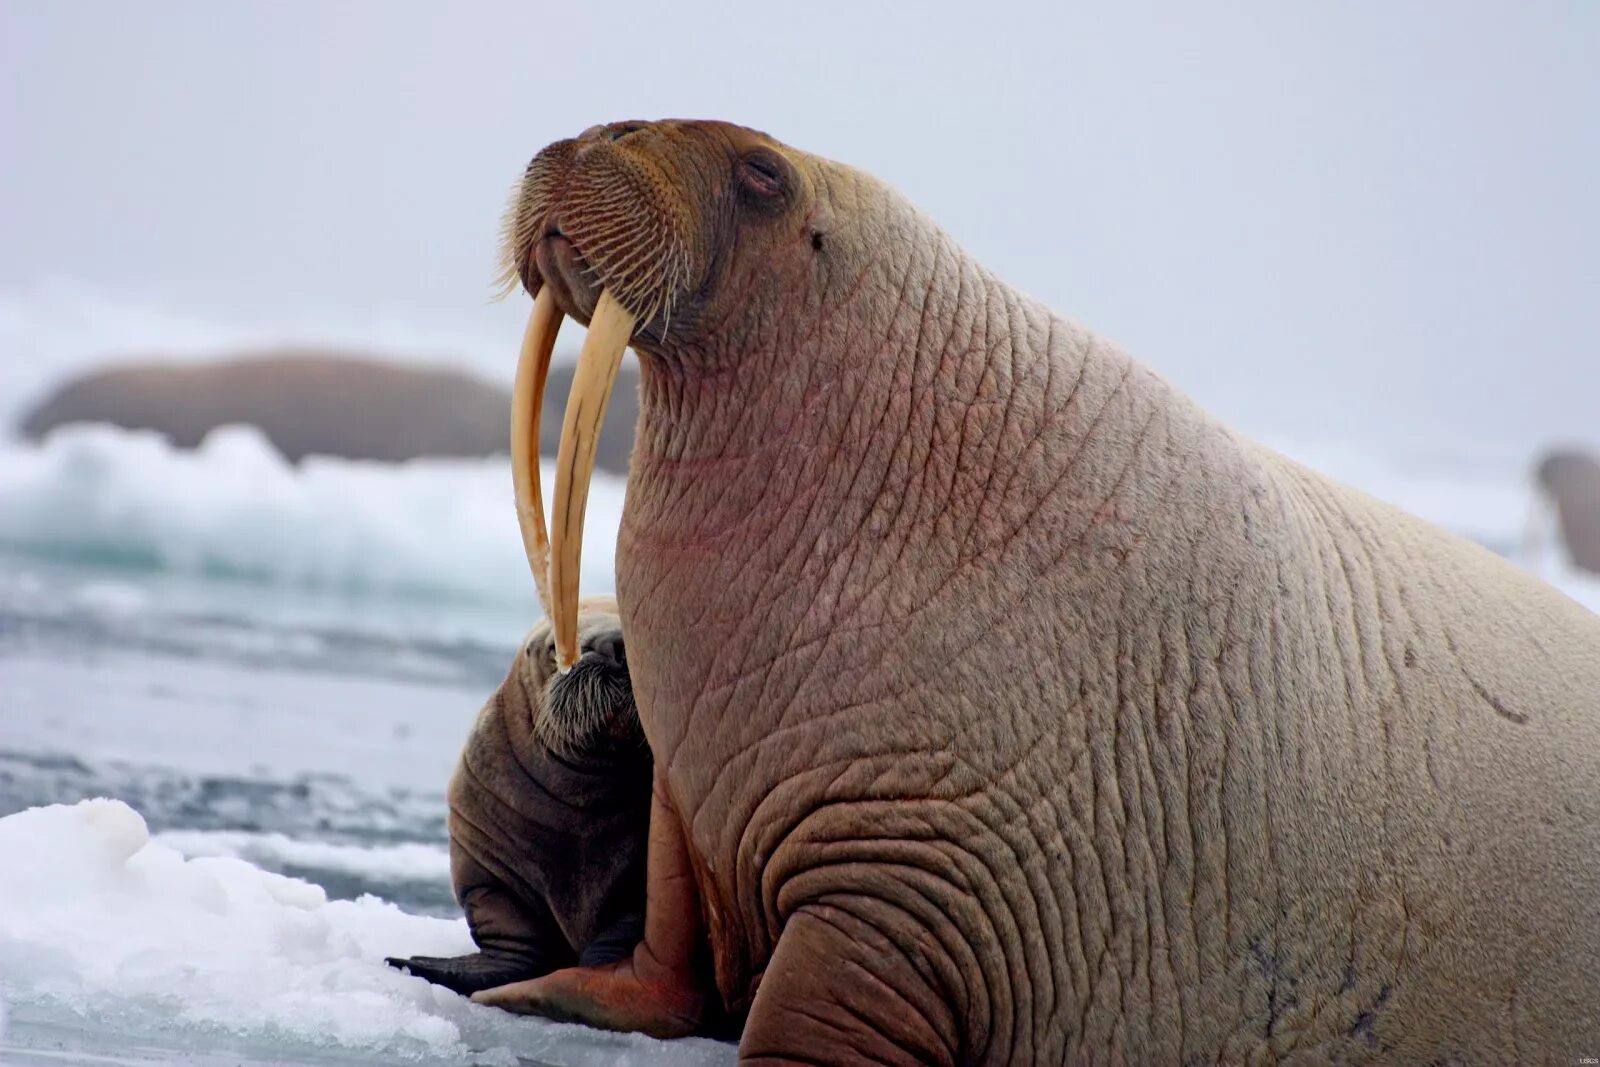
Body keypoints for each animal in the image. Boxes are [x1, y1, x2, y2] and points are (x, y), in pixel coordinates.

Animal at [385, 601, 649, 1004]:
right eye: (556, 647)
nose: (615, 645)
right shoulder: (485, 867)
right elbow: (510, 932)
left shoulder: (641, 880)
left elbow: (627, 924)